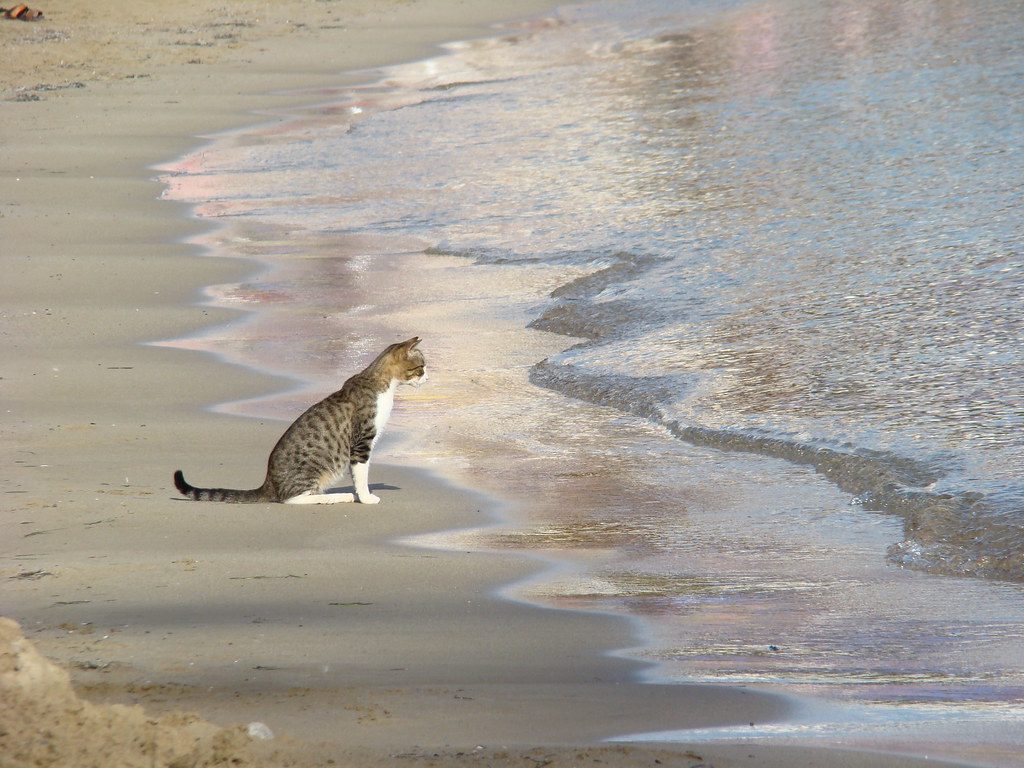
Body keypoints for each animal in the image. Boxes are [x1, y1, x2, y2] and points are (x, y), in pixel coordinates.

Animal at [176, 335, 428, 505]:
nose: (428, 377)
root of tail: (269, 483)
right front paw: (366, 497)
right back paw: (337, 496)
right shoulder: (361, 443)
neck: (380, 383)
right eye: (421, 367)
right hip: (312, 470)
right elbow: (361, 475)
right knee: (291, 498)